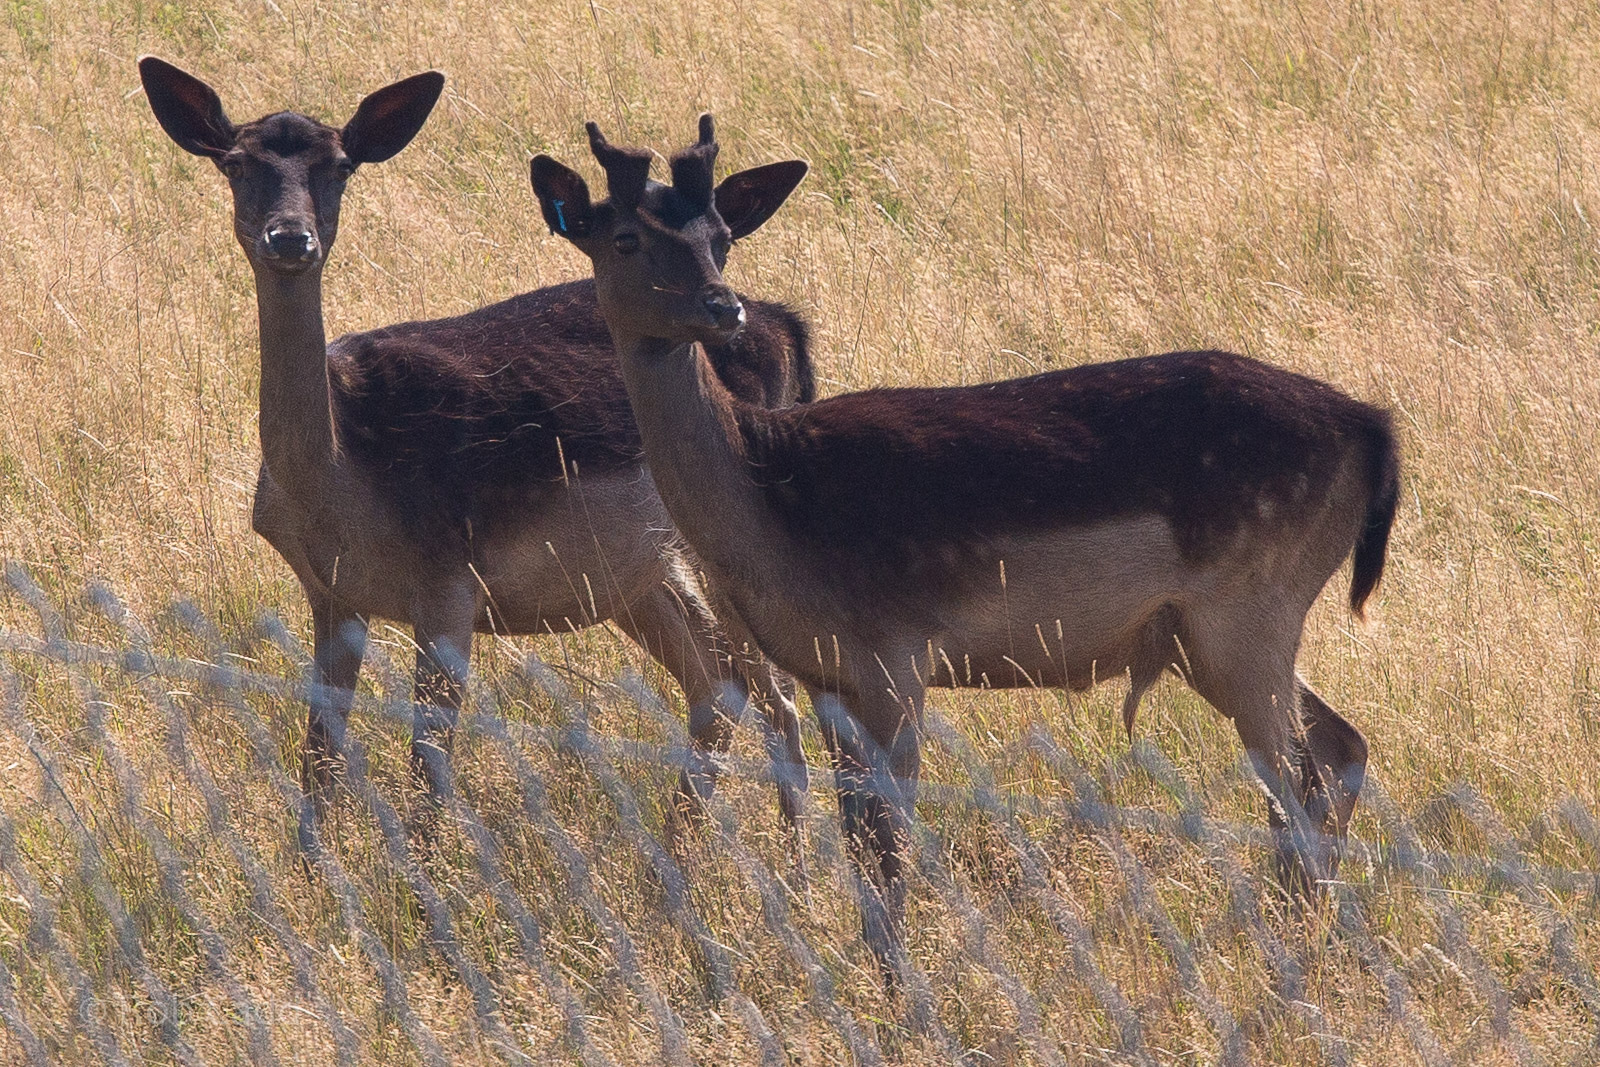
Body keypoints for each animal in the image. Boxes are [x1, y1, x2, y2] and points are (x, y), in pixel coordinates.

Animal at [138, 59, 813, 829]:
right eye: (236, 162)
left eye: (340, 164)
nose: (290, 238)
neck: (342, 481)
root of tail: (786, 327)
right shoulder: (332, 593)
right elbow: (318, 761)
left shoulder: (450, 585)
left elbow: (427, 773)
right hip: (642, 575)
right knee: (720, 683)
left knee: (776, 693)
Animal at [530, 115, 1401, 969]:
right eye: (624, 238)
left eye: (719, 235)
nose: (722, 306)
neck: (771, 504)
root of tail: (1371, 427)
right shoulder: (828, 674)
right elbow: (860, 840)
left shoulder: (896, 653)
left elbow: (888, 846)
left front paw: (896, 981)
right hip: (1218, 633)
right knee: (1338, 747)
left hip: (1248, 609)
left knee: (1298, 776)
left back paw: (1290, 950)